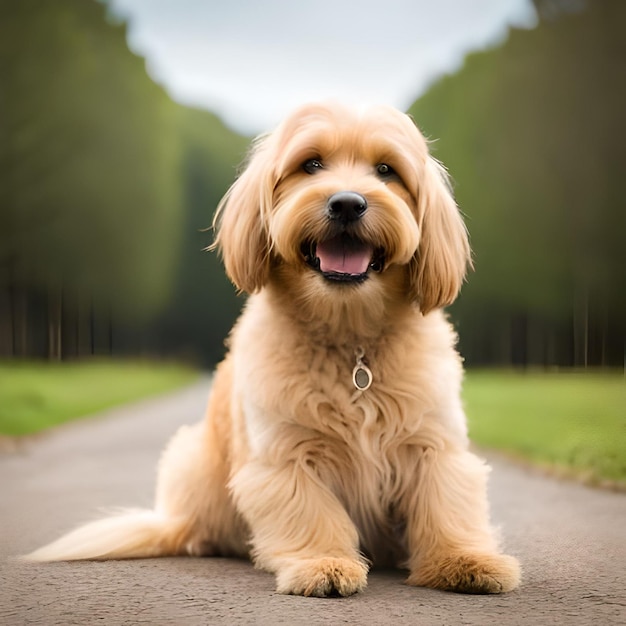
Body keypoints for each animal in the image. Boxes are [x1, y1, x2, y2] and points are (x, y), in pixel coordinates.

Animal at [26, 102, 520, 596]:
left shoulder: (434, 444)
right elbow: (311, 512)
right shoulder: (286, 455)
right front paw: (323, 563)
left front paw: (463, 559)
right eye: (311, 164)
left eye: (386, 171)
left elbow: (445, 503)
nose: (346, 203)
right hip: (191, 457)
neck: (350, 339)